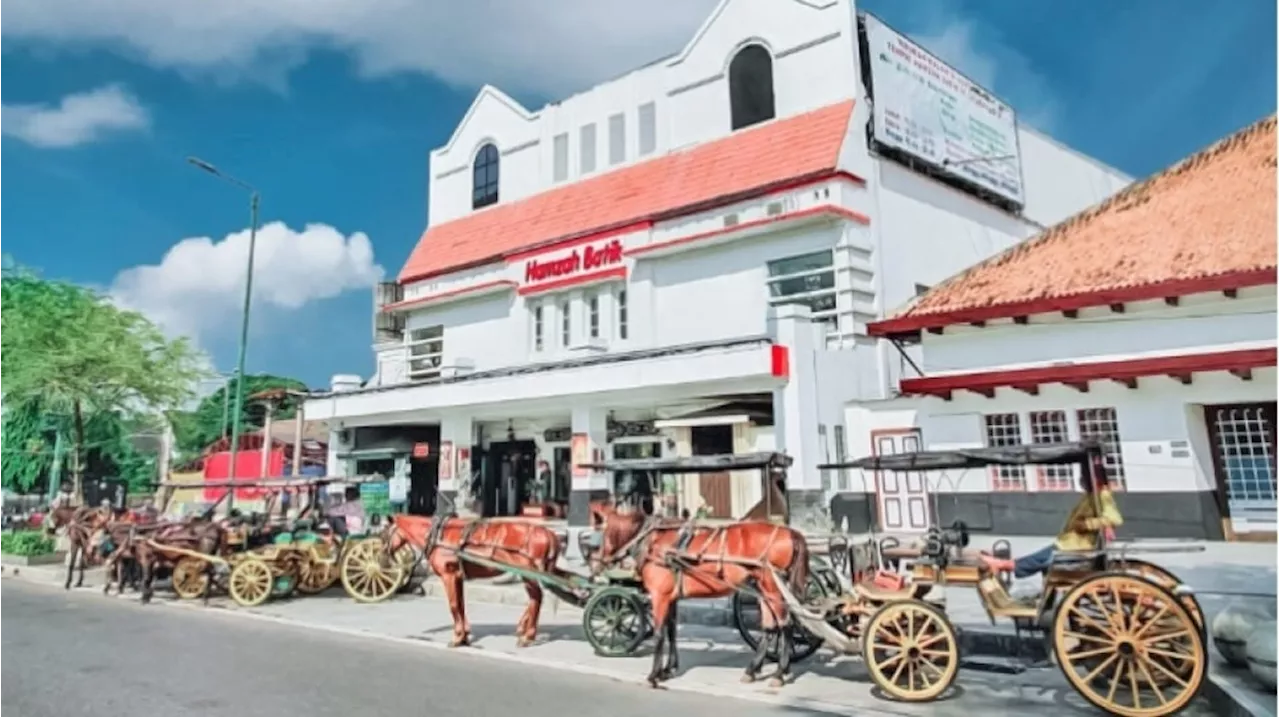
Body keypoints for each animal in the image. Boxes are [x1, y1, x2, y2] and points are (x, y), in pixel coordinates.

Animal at [378, 512, 560, 647]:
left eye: (384, 533)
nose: (381, 558)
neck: (439, 537)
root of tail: (549, 533)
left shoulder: (449, 575)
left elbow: (453, 605)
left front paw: (457, 637)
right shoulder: (457, 576)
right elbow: (460, 605)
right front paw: (464, 635)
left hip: (528, 574)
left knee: (536, 598)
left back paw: (528, 636)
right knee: (534, 598)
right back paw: (523, 628)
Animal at [591, 499, 808, 691]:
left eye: (600, 532)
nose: (596, 563)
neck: (654, 543)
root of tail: (790, 532)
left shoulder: (660, 596)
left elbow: (660, 634)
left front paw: (654, 675)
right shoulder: (671, 597)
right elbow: (671, 630)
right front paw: (668, 669)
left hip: (772, 587)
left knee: (786, 625)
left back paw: (780, 673)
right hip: (763, 588)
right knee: (769, 627)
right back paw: (753, 670)